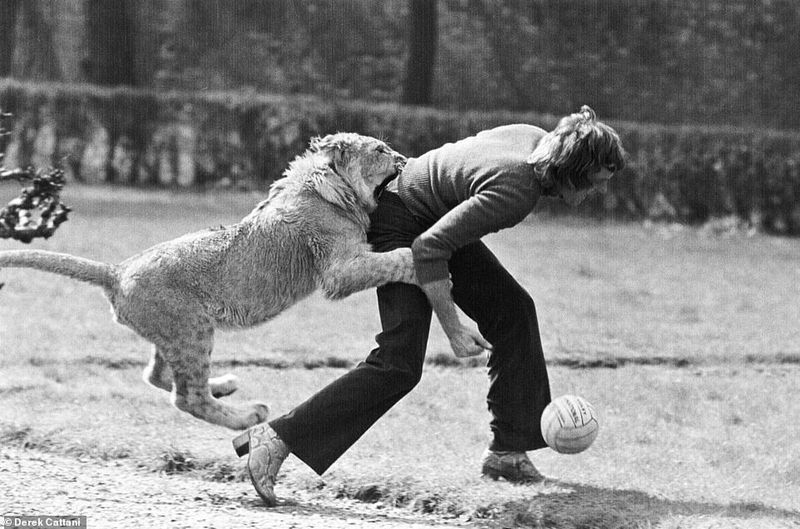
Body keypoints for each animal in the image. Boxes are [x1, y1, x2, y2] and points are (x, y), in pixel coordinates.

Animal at [0, 133, 416, 430]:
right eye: (380, 149)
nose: (405, 160)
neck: (327, 184)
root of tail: (116, 271)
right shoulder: (338, 271)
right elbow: (392, 259)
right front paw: (417, 256)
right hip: (192, 329)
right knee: (188, 397)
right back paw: (248, 415)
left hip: (174, 332)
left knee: (159, 376)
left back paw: (225, 384)